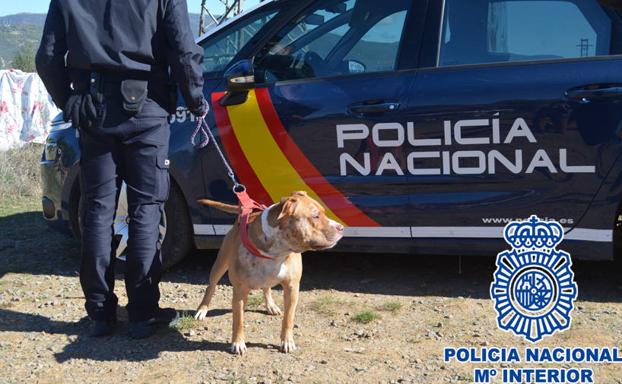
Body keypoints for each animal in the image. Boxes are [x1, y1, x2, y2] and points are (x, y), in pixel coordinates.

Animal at [195, 190, 346, 356]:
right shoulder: (240, 291)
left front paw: (287, 341)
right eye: (316, 216)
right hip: (220, 263)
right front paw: (238, 343)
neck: (277, 252)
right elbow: (238, 320)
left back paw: (271, 306)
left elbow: (288, 319)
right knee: (211, 286)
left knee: (266, 287)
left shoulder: (292, 288)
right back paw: (202, 310)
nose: (341, 227)